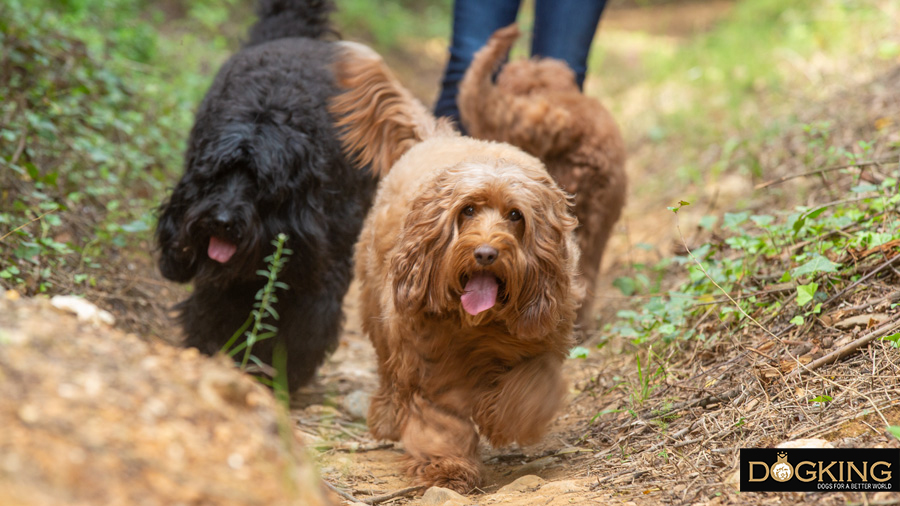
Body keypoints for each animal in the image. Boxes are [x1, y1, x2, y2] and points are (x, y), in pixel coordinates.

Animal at [156, 0, 374, 392]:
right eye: (216, 174)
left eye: (260, 184)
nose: (221, 222)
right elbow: (216, 305)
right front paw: (216, 350)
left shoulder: (323, 266)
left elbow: (305, 323)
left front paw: (282, 372)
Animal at [330, 42, 584, 494]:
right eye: (467, 211)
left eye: (515, 216)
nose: (485, 253)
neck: (478, 327)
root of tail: (438, 137)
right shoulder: (428, 361)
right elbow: (438, 418)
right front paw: (446, 465)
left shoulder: (542, 337)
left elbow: (531, 389)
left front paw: (500, 419)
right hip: (377, 305)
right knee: (389, 373)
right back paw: (387, 416)